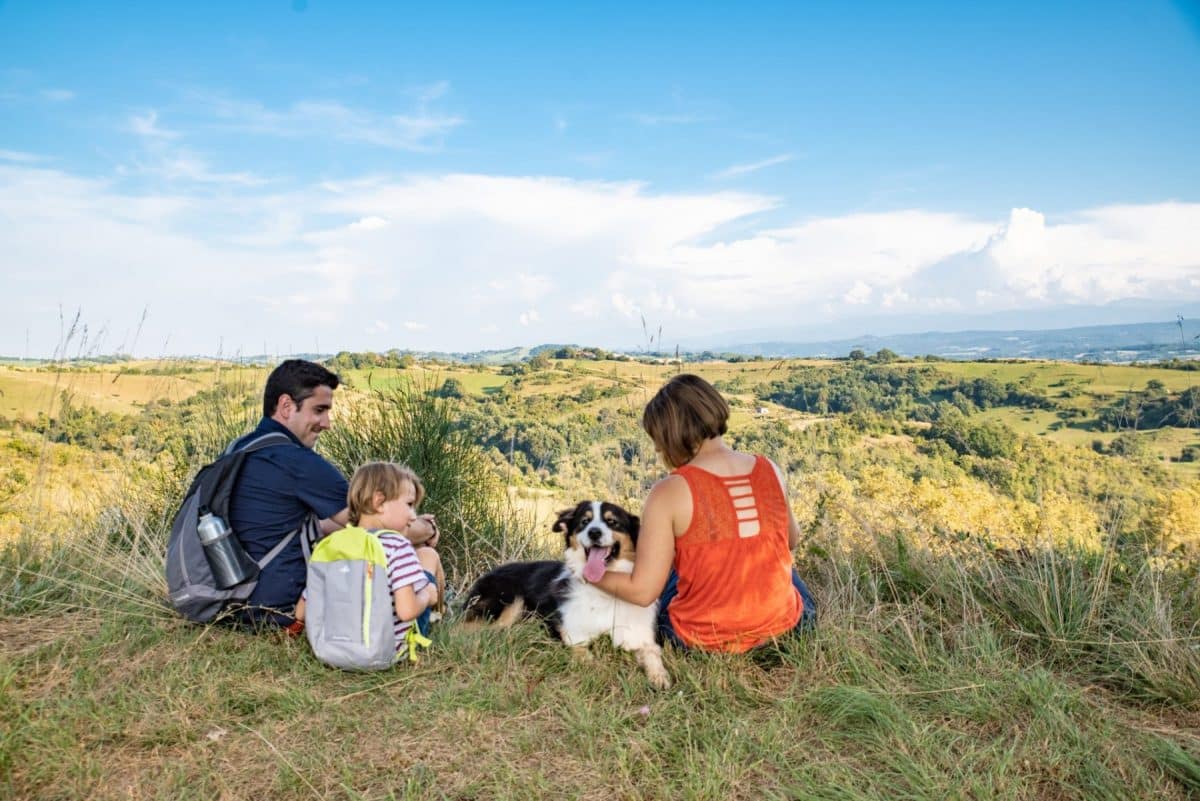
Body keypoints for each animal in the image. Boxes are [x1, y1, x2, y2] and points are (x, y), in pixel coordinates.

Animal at [458, 501, 672, 690]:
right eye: (584, 521)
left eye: (612, 521)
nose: (594, 532)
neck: (605, 592)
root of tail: (489, 573)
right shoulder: (571, 634)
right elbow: (586, 657)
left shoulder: (642, 637)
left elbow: (653, 655)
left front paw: (660, 677)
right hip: (511, 603)